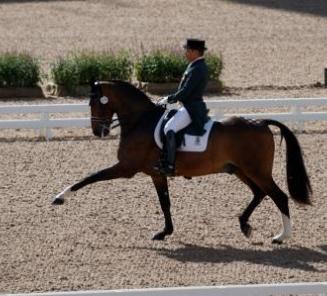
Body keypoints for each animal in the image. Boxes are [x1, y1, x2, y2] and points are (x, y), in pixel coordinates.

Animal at [53, 80, 312, 244]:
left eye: (96, 103)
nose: (98, 132)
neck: (140, 121)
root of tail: (261, 122)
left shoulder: (126, 168)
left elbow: (90, 177)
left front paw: (60, 197)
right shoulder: (157, 174)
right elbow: (165, 203)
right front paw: (164, 232)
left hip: (256, 170)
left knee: (279, 196)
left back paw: (281, 237)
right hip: (240, 170)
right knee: (259, 193)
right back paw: (244, 224)